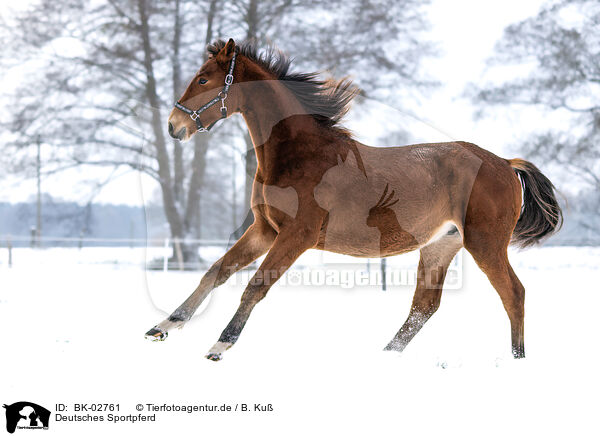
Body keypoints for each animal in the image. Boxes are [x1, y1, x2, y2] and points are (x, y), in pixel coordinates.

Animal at [145, 38, 564, 362]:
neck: (301, 155)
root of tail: (505, 163)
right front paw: (164, 325)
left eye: (203, 78)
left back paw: (518, 360)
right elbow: (216, 271)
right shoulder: (265, 230)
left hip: (484, 243)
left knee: (513, 294)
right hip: (440, 246)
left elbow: (255, 286)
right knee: (423, 307)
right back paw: (384, 357)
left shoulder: (296, 235)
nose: (173, 126)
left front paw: (220, 345)